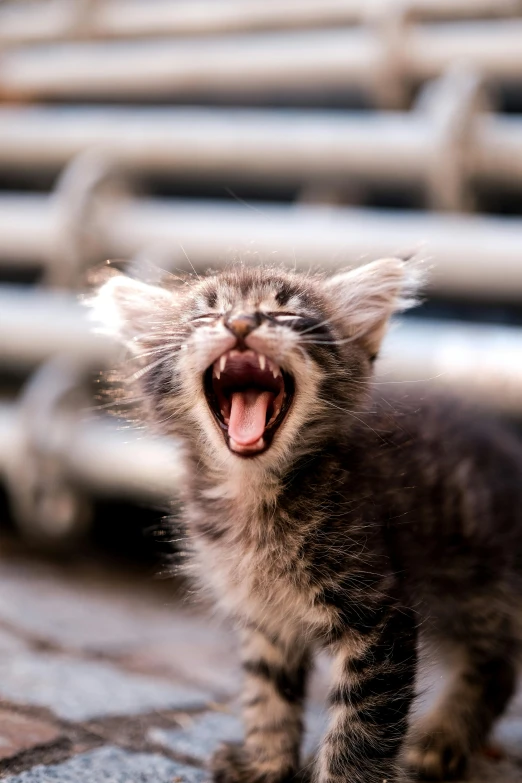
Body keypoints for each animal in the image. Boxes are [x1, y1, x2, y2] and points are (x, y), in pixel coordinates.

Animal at [91, 262, 520, 783]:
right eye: (206, 316)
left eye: (284, 313)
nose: (241, 322)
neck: (251, 498)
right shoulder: (263, 616)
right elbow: (268, 692)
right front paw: (265, 763)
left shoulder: (378, 617)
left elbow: (363, 726)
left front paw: (343, 775)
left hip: (475, 580)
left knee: (496, 659)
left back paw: (442, 739)